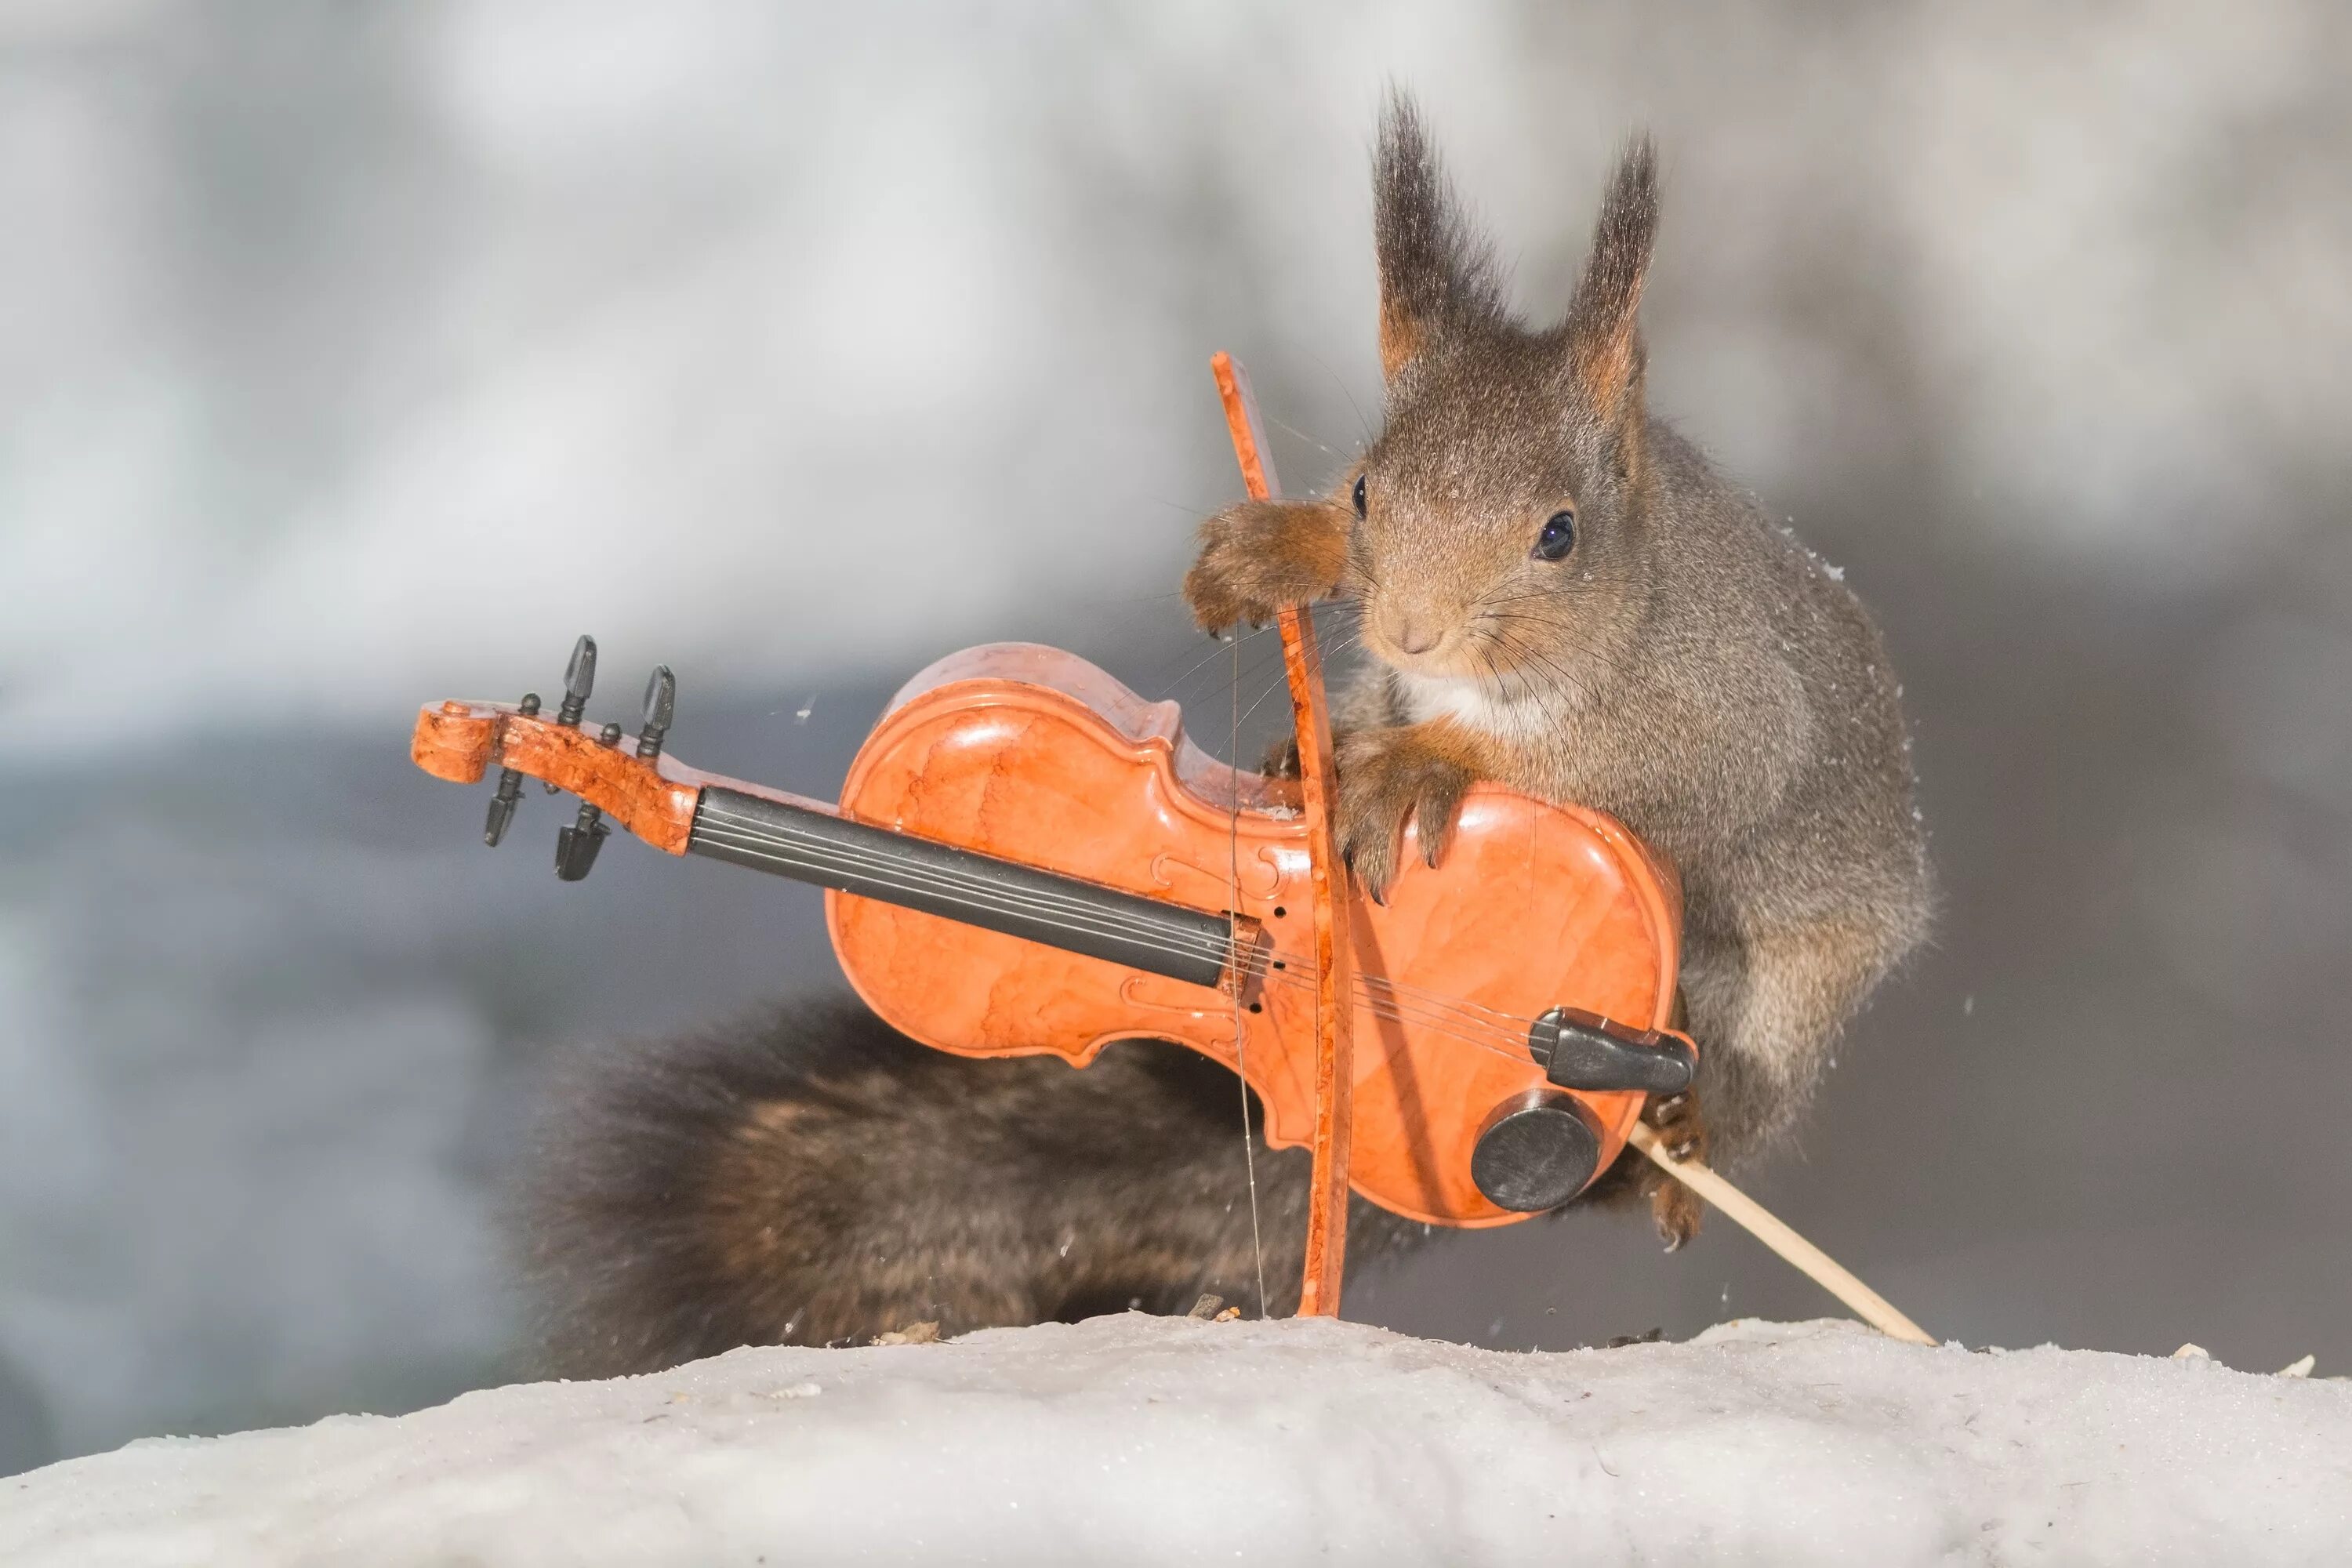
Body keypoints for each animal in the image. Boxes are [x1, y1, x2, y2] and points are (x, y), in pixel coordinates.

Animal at [515, 98, 1929, 1382]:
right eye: (1363, 493)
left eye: (1561, 536)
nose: (1412, 631)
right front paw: (1277, 566)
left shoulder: (1726, 707)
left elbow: (1661, 775)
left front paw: (1420, 769)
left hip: (1771, 1006)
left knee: (1704, 1115)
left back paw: (1674, 1143)